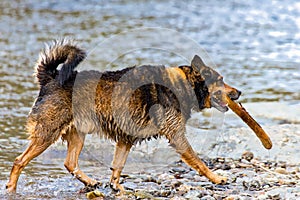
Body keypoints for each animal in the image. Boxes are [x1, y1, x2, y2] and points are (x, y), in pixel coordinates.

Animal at [6, 39, 241, 194]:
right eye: (221, 79)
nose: (238, 92)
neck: (183, 84)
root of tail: (50, 78)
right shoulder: (176, 136)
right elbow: (200, 162)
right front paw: (217, 178)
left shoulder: (125, 139)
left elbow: (117, 166)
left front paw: (116, 186)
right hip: (47, 133)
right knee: (19, 161)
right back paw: (11, 189)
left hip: (77, 134)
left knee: (69, 163)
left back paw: (90, 182)